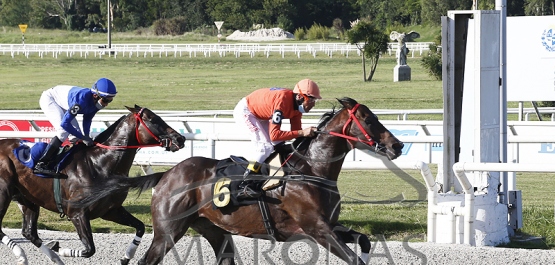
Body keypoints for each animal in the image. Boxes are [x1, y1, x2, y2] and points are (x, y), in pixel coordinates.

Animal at [0, 105, 186, 264]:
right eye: (153, 119)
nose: (180, 138)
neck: (100, 164)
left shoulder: (110, 210)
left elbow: (140, 227)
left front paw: (126, 257)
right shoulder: (77, 213)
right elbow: (89, 249)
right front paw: (58, 247)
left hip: (27, 198)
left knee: (29, 232)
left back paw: (52, 258)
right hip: (4, 193)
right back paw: (23, 254)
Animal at [76, 97, 404, 264]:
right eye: (369, 119)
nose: (398, 145)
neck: (311, 169)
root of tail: (167, 174)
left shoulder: (329, 226)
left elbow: (363, 239)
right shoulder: (317, 229)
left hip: (214, 229)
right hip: (168, 231)